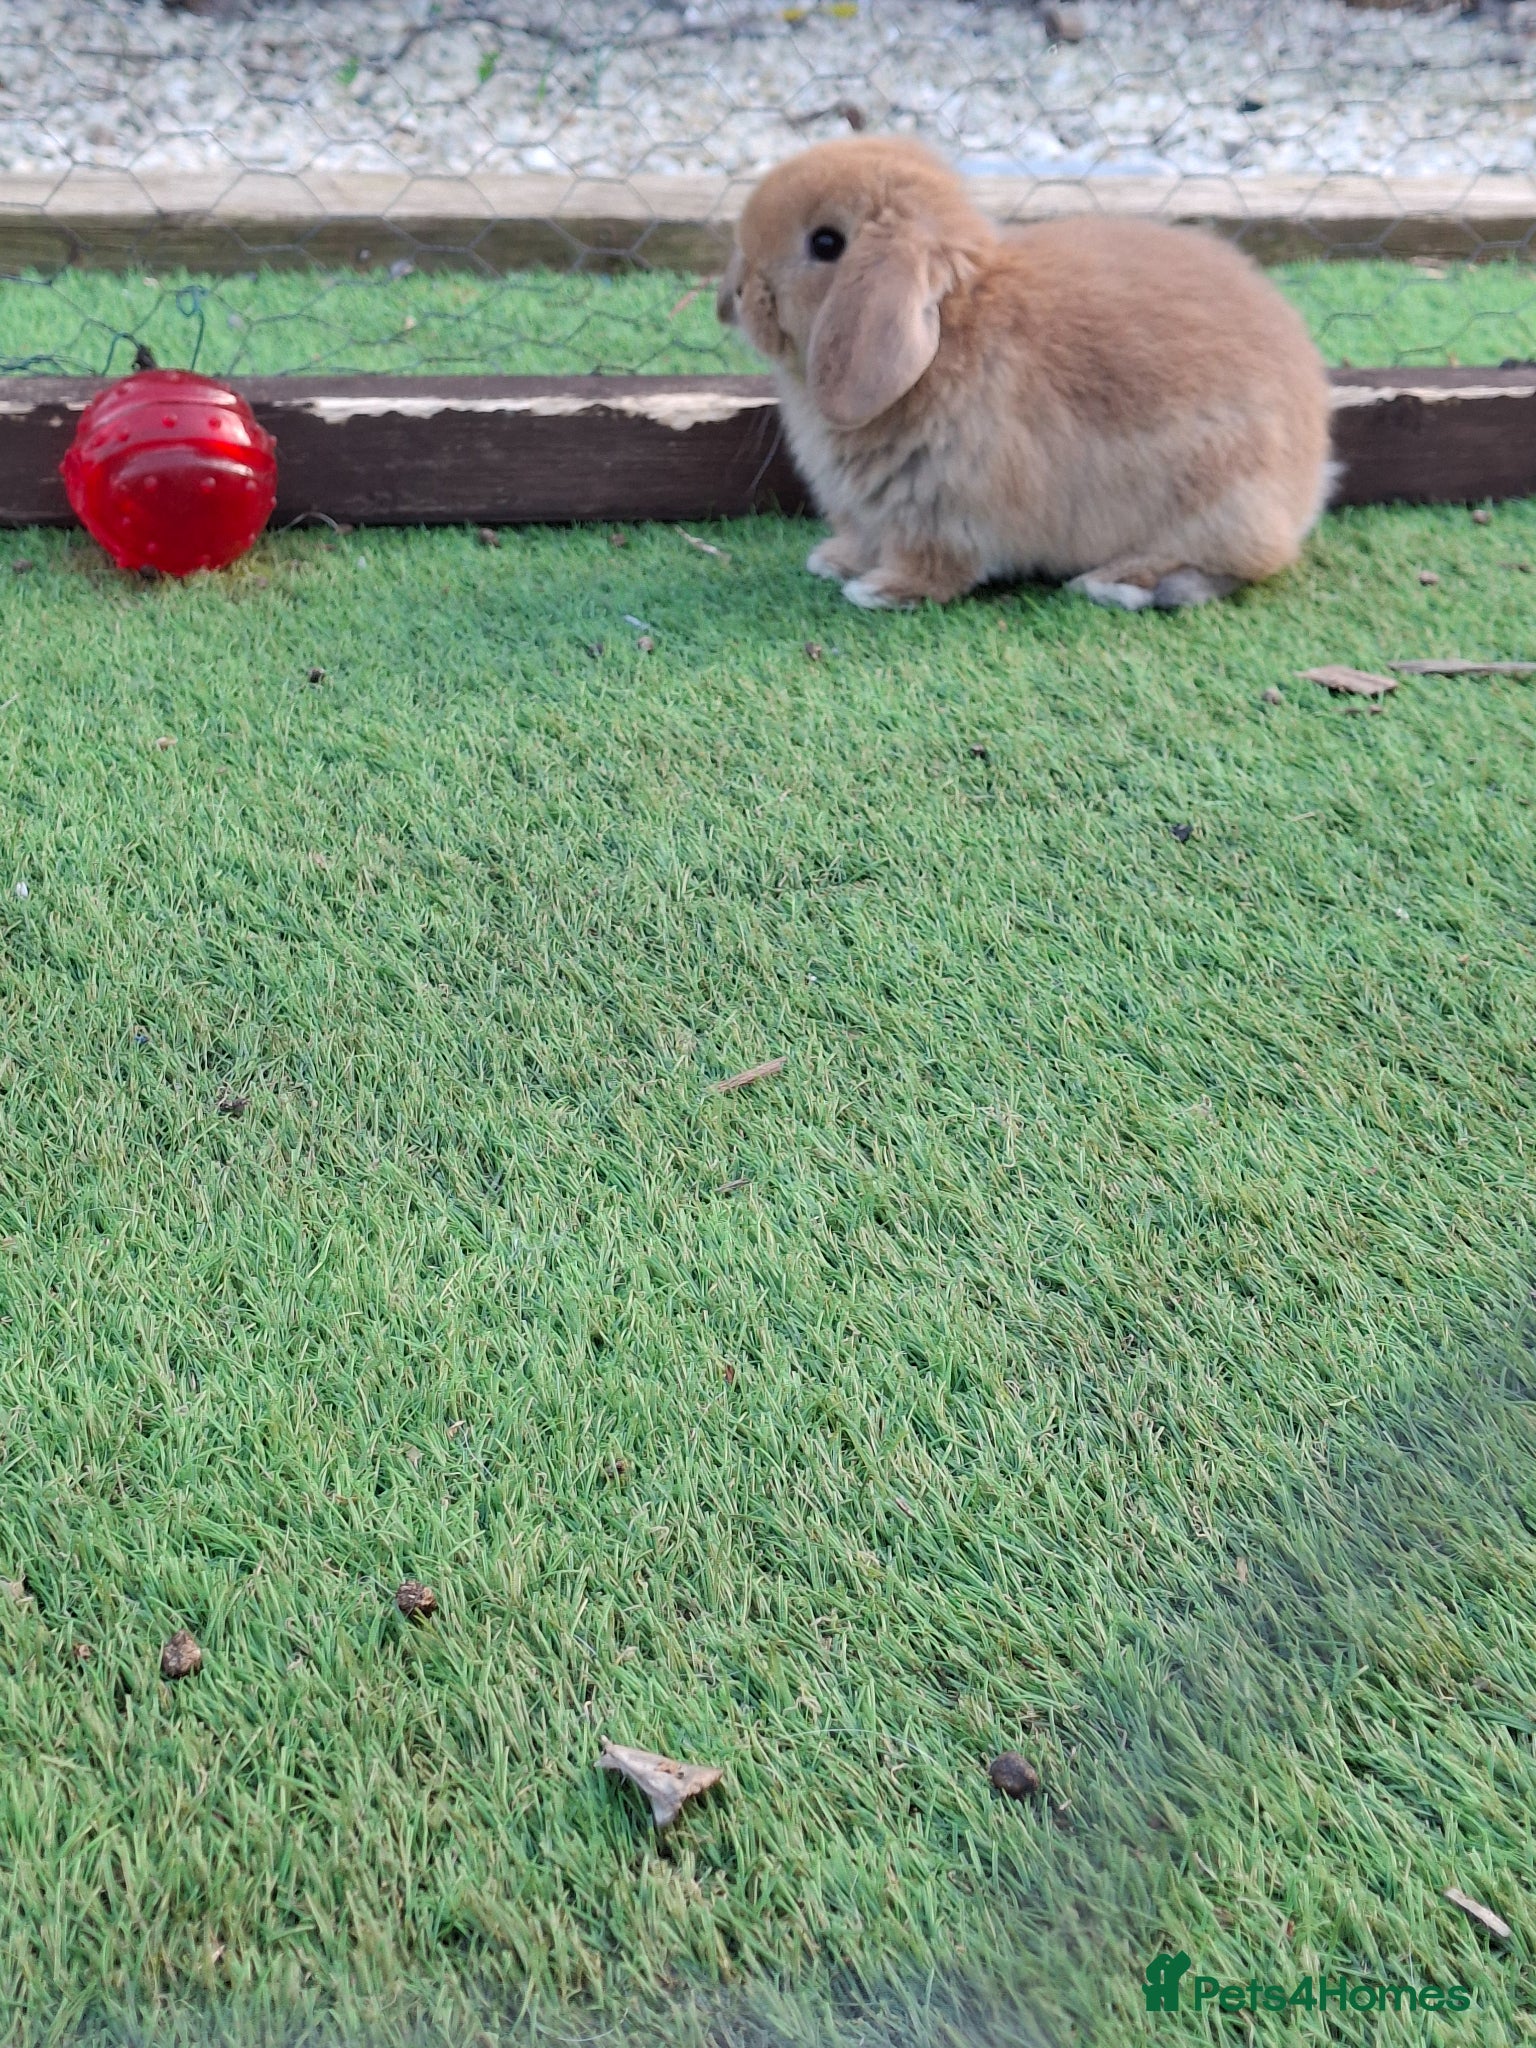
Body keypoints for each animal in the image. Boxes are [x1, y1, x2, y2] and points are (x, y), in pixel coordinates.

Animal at [716, 137, 1335, 611]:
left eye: (826, 243)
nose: (735, 295)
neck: (951, 327)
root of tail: (1311, 476)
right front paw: (834, 560)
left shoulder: (942, 518)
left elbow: (934, 568)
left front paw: (880, 591)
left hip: (1217, 498)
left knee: (1242, 563)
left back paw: (1115, 583)